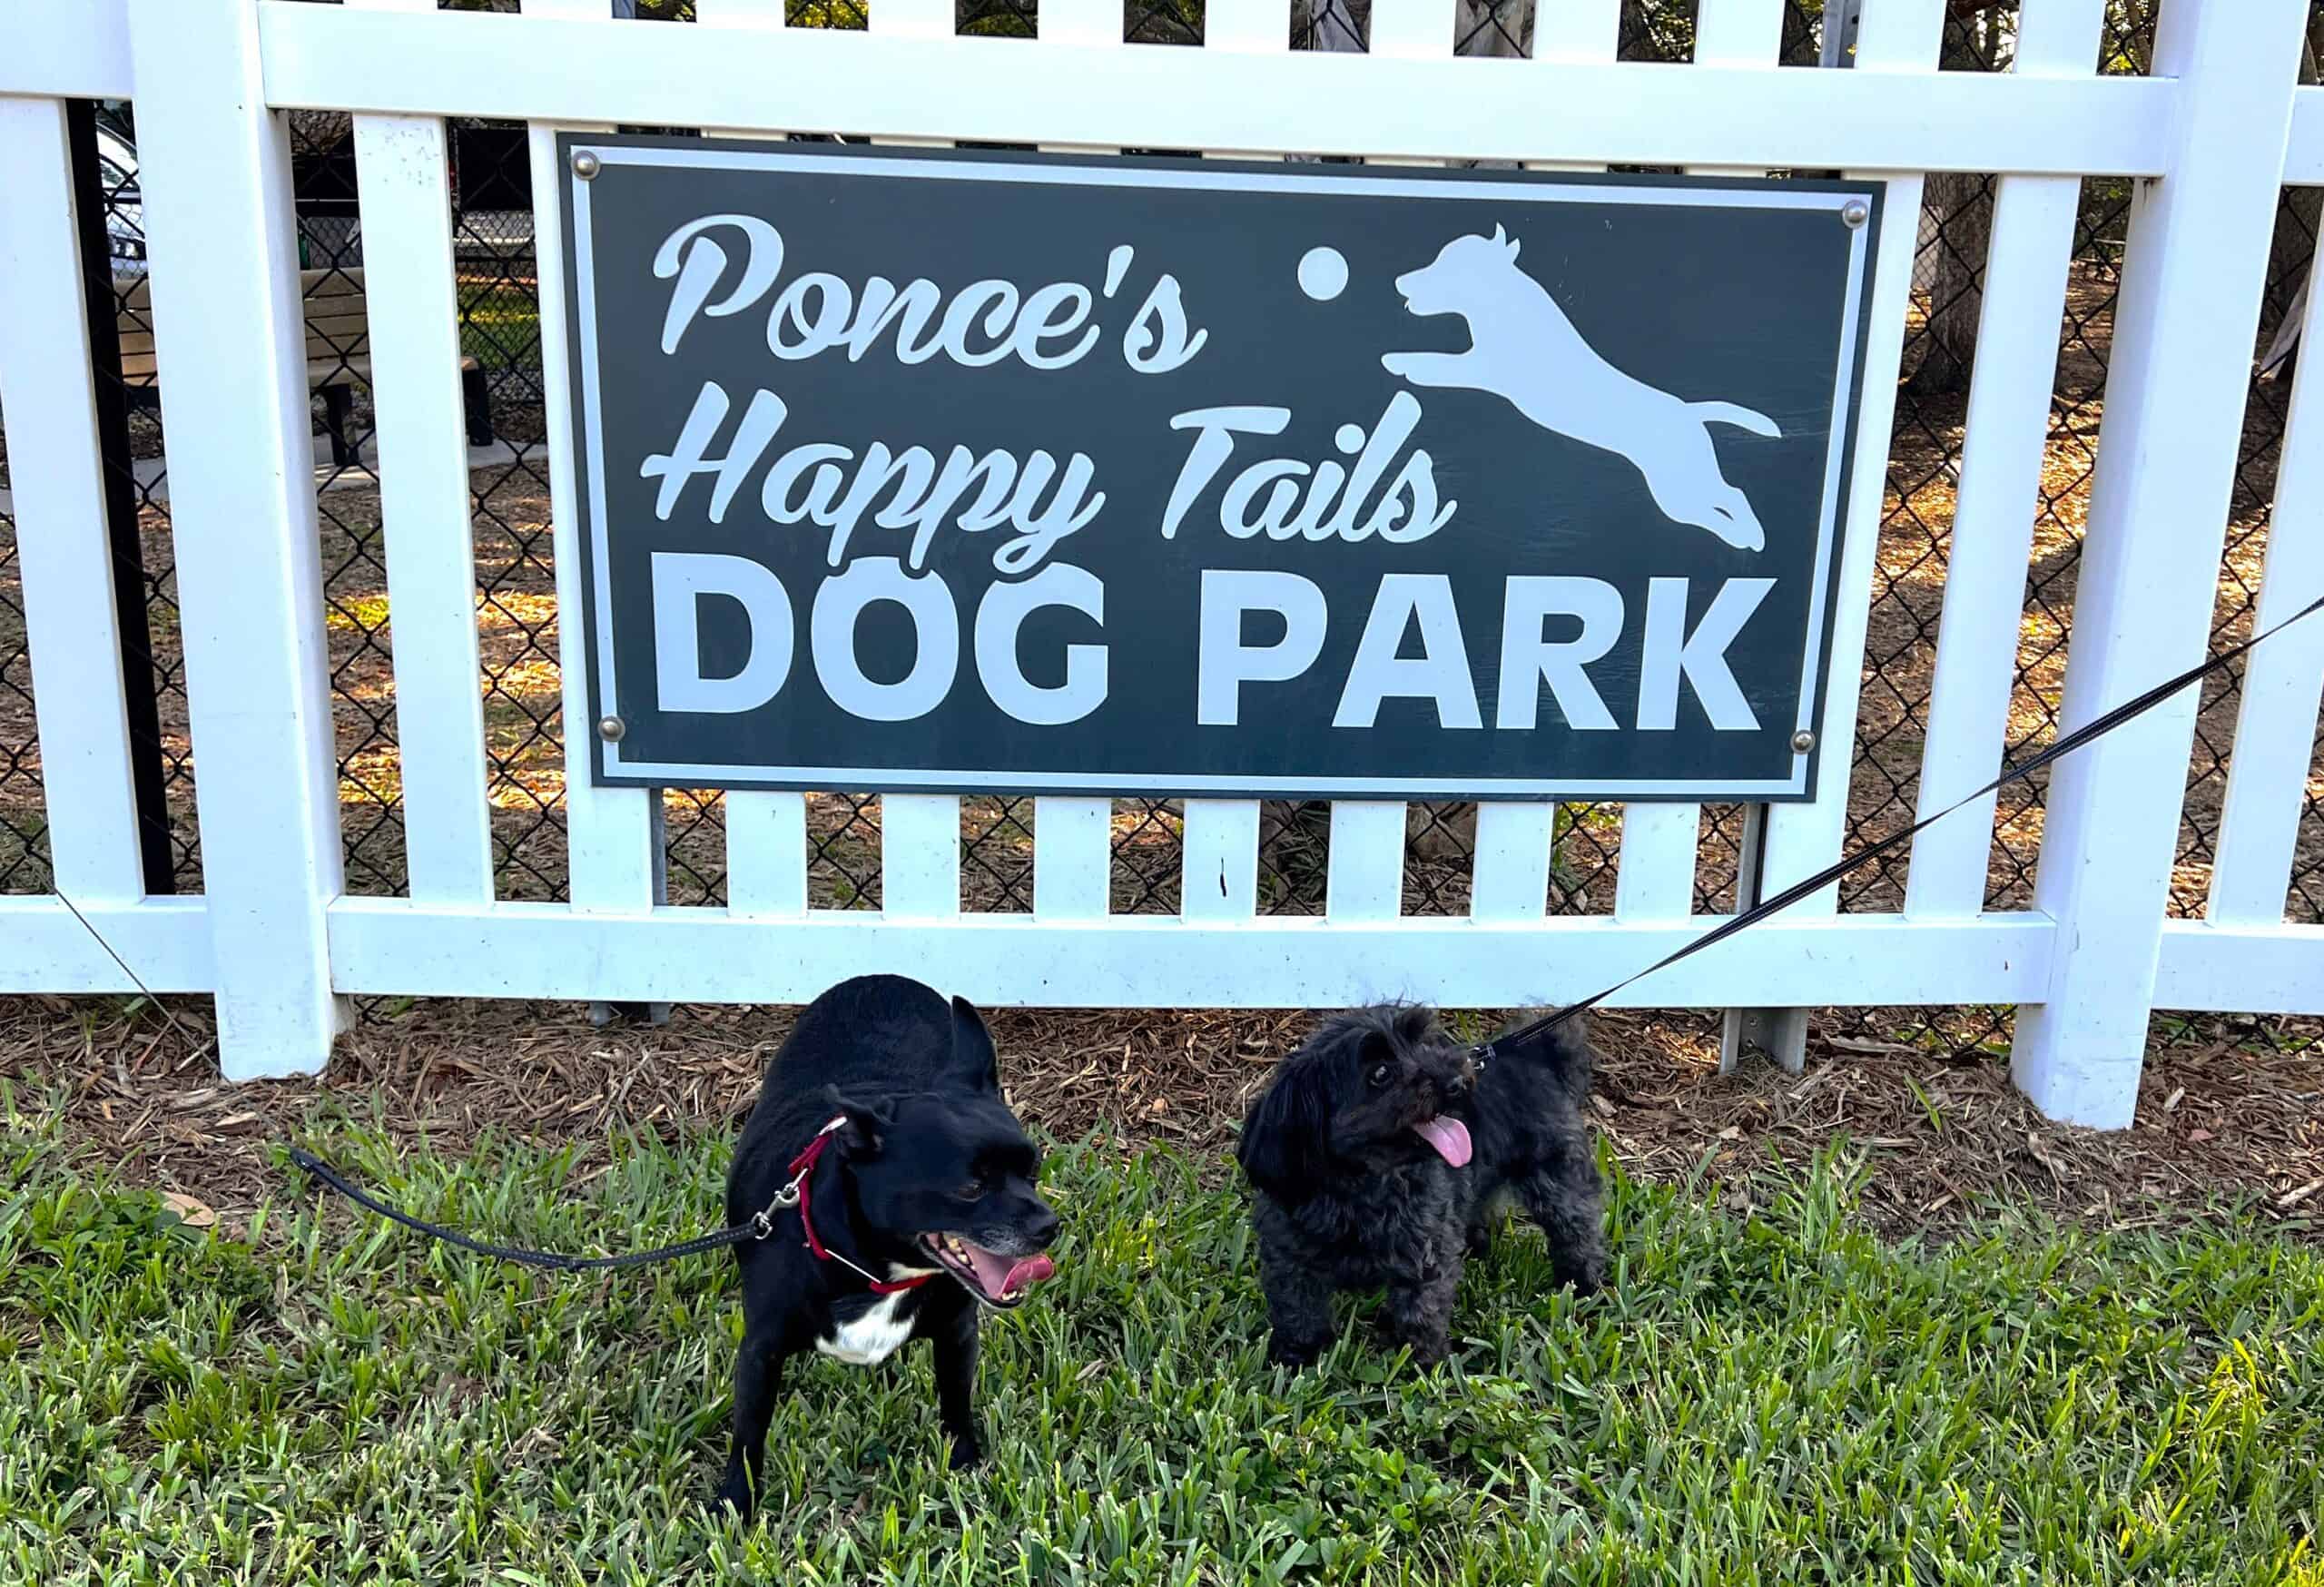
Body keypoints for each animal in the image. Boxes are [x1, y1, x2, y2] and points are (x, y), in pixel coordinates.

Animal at [715, 981, 1064, 1514]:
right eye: (971, 1188)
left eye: (1033, 1170)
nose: (1050, 1226)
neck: (877, 1272)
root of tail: (883, 976)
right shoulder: (760, 1352)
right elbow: (748, 1437)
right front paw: (735, 1503)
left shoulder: (957, 1335)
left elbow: (956, 1402)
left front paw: (965, 1464)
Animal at [1236, 1003, 1599, 1365]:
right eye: (1381, 1073)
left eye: (1424, 1044)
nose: (1457, 1081)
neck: (1356, 1190)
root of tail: (1537, 1054)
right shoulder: (1289, 1257)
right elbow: (1298, 1312)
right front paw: (1295, 1358)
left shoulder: (1424, 1257)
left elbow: (1421, 1315)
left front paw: (1426, 1364)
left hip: (1555, 1178)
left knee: (1578, 1229)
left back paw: (1584, 1287)